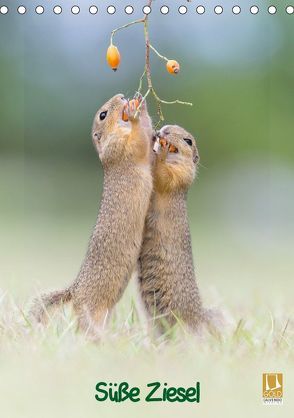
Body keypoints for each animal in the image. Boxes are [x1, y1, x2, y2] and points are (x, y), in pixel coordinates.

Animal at [30, 93, 154, 334]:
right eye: (103, 115)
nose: (121, 96)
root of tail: (74, 291)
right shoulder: (120, 148)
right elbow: (139, 141)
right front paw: (136, 112)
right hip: (91, 310)